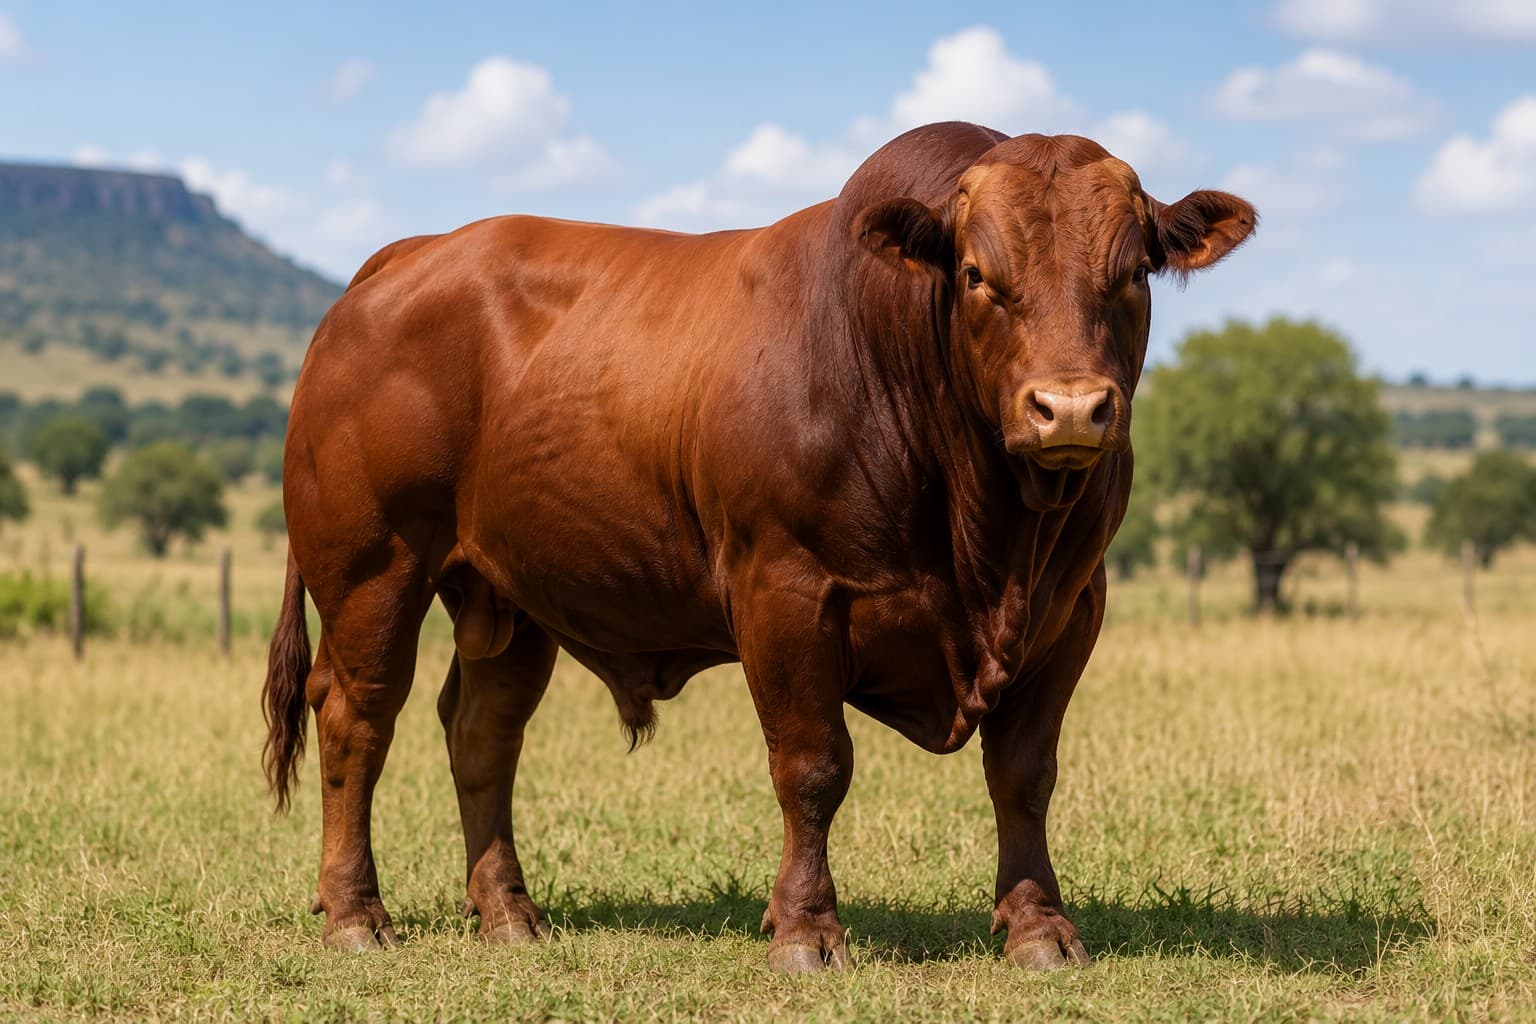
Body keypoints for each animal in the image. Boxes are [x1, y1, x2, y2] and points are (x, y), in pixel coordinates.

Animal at [262, 122, 1255, 973]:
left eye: (1134, 272)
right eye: (977, 274)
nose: (1072, 409)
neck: (991, 536)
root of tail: (409, 255)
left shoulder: (1070, 608)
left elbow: (1023, 774)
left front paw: (1039, 928)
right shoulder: (786, 590)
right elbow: (814, 766)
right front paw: (807, 931)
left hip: (508, 593)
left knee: (481, 732)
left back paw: (507, 913)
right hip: (372, 569)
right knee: (356, 718)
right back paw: (355, 914)